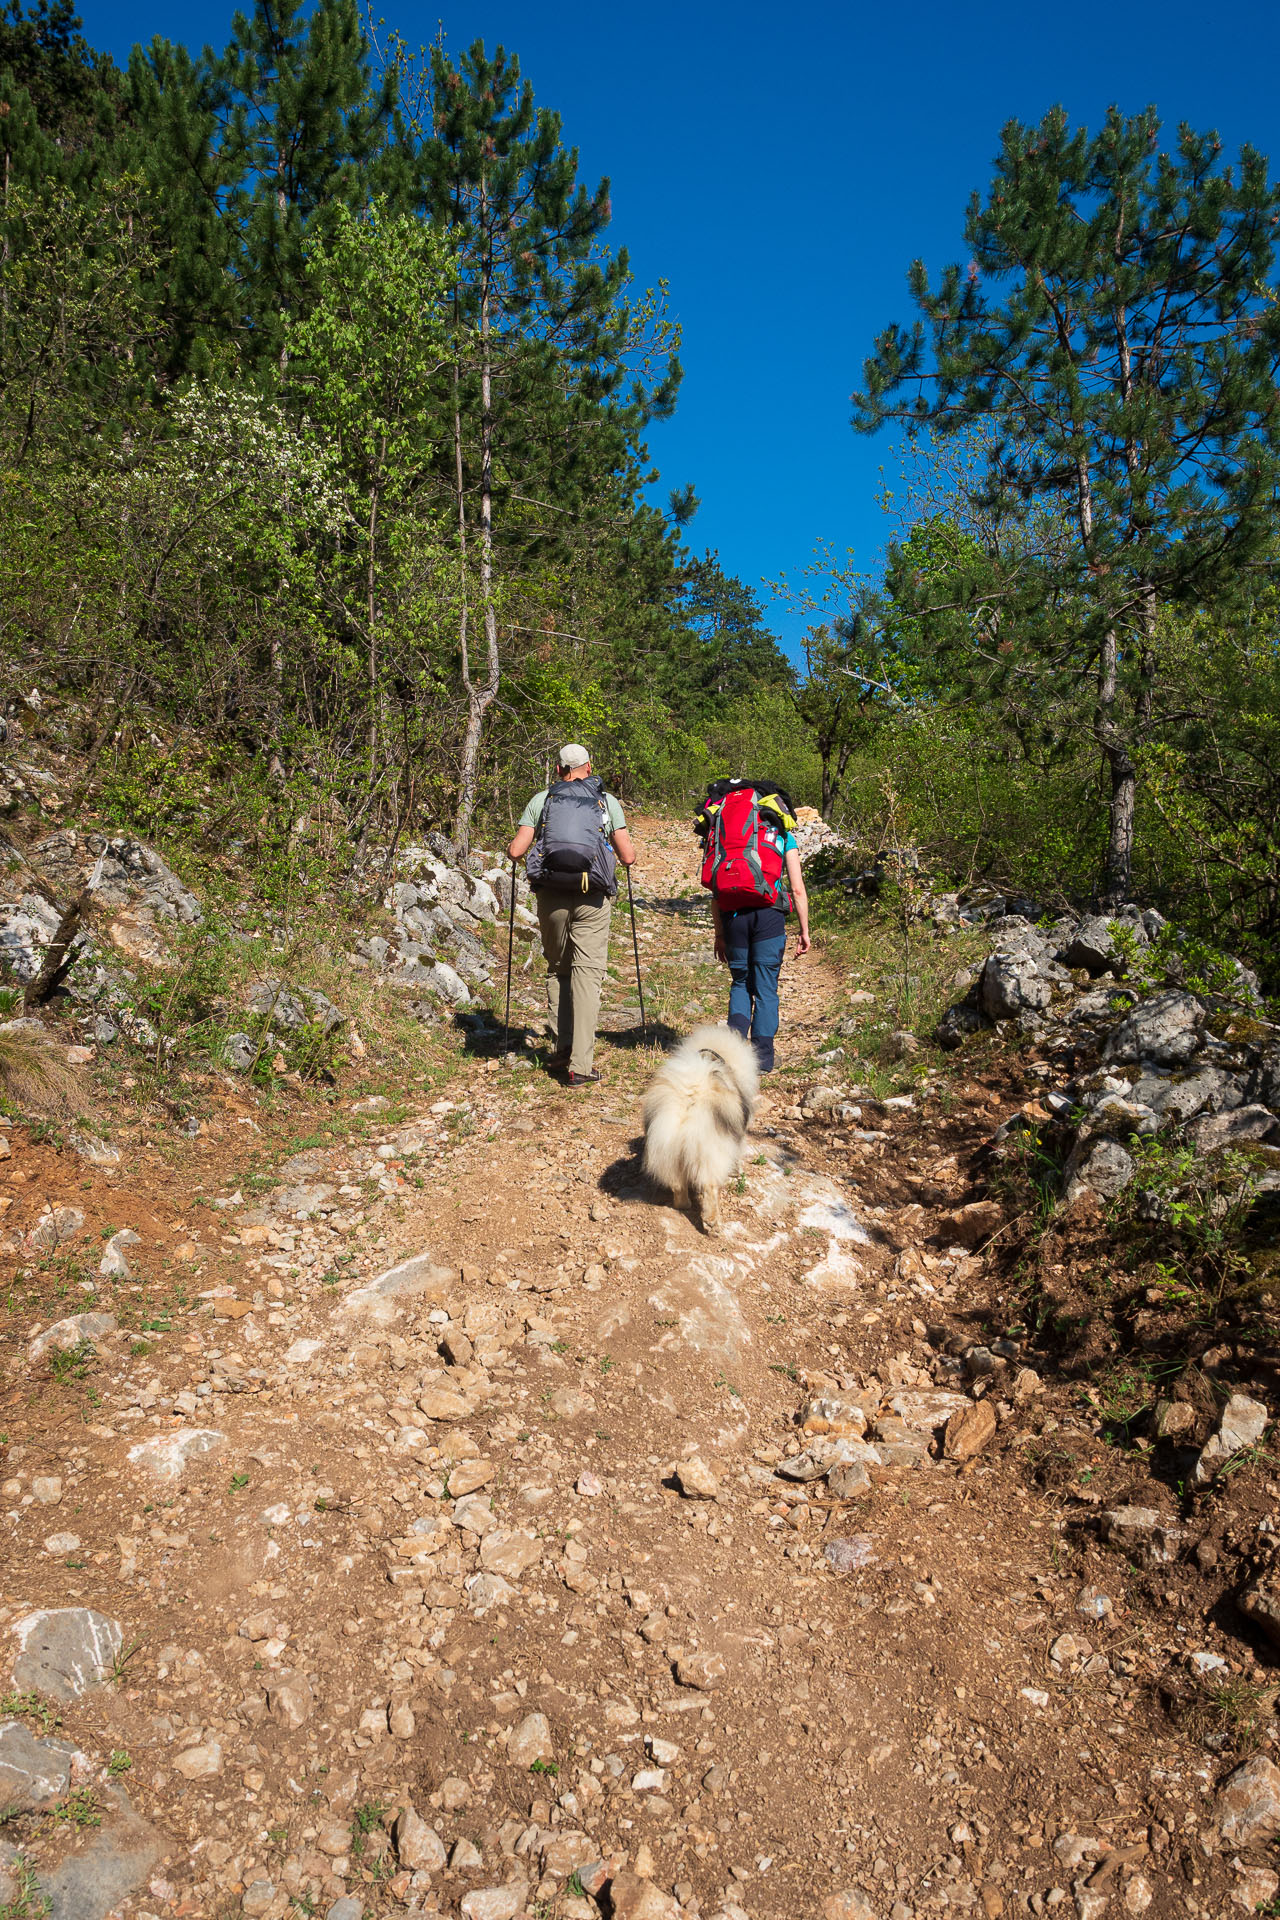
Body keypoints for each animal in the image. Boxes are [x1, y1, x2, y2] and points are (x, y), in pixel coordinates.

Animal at [640, 1029, 759, 1236]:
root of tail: (688, 1099)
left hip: (669, 1149)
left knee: (677, 1183)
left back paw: (684, 1205)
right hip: (709, 1152)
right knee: (709, 1186)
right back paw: (713, 1224)